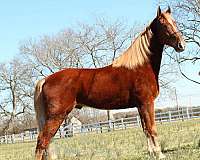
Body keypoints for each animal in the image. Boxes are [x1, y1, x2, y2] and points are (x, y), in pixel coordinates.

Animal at [34, 6, 184, 159]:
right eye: (163, 24)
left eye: (174, 22)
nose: (181, 45)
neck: (140, 66)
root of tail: (45, 79)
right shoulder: (147, 103)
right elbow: (152, 128)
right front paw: (159, 154)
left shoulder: (140, 106)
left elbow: (146, 130)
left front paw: (152, 153)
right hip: (56, 116)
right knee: (42, 141)